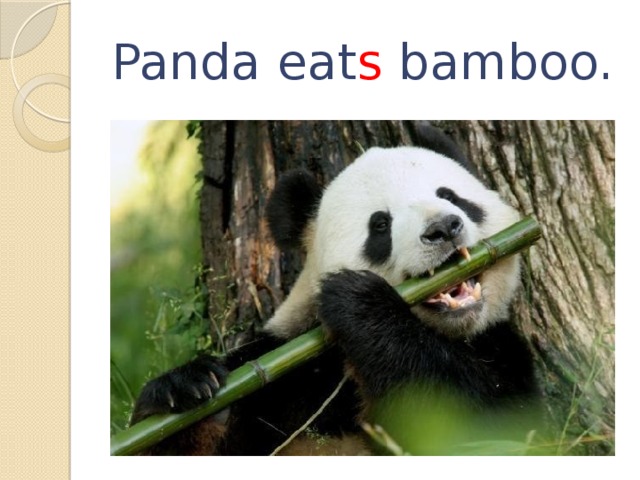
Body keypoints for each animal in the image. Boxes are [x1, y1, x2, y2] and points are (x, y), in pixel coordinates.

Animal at [130, 128, 541, 455]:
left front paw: (358, 301)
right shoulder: (285, 373)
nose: (443, 228)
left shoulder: (502, 350)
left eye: (451, 196)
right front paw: (186, 389)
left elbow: (484, 424)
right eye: (380, 224)